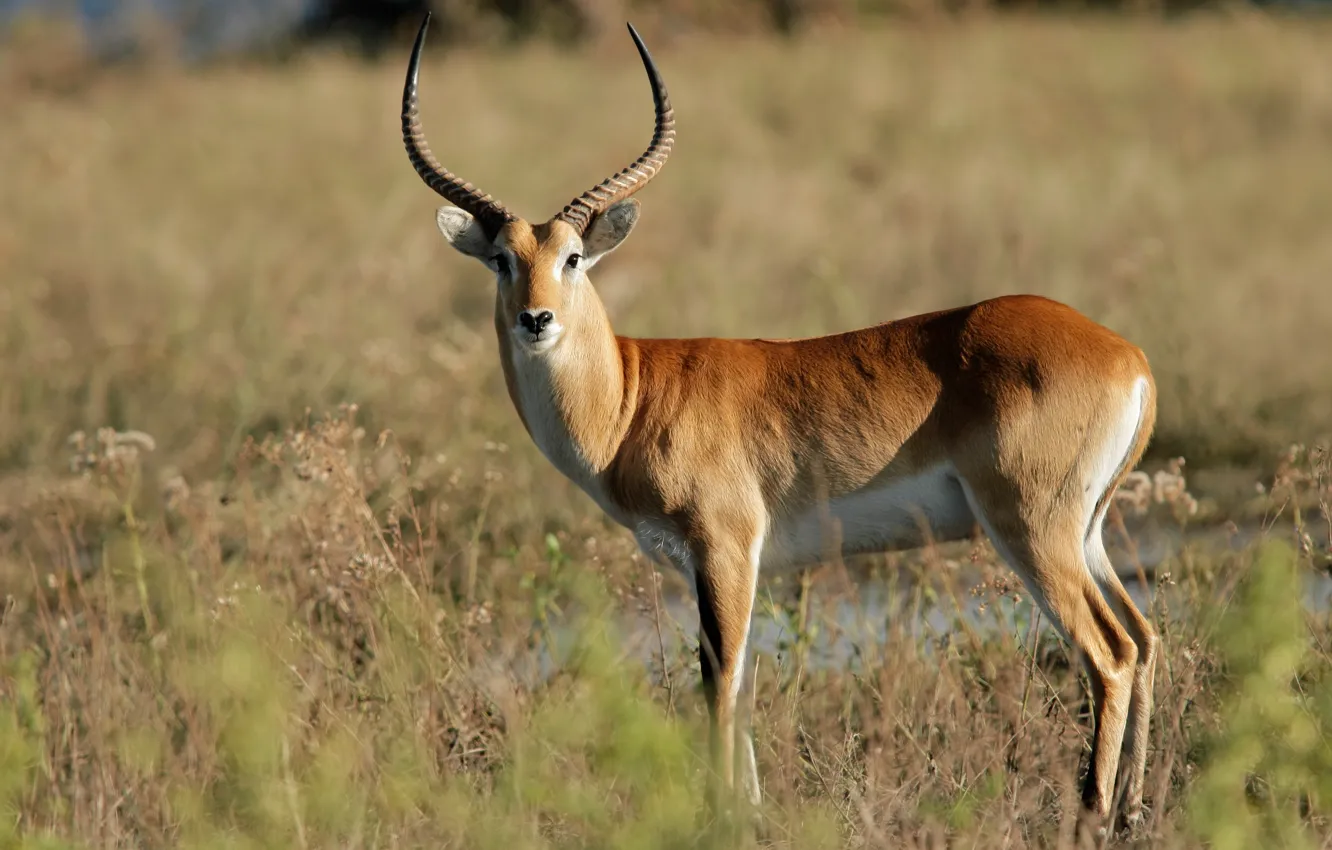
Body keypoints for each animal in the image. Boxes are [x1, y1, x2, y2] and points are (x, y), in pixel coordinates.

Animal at [399, 11, 1161, 826]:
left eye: (573, 257)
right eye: (502, 261)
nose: (536, 319)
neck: (633, 397)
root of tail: (1127, 355)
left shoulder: (725, 546)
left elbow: (718, 686)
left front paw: (721, 816)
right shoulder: (724, 564)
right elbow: (738, 687)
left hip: (1031, 527)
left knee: (1109, 654)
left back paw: (1090, 815)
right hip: (1087, 530)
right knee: (1144, 637)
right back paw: (1132, 810)